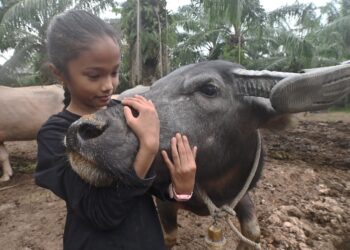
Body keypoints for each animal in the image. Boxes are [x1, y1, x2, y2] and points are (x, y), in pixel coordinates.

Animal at [64, 60, 348, 248]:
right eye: (155, 88)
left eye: (209, 89)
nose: (83, 129)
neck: (213, 182)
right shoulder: (164, 201)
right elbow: (169, 235)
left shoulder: (239, 195)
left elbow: (253, 232)